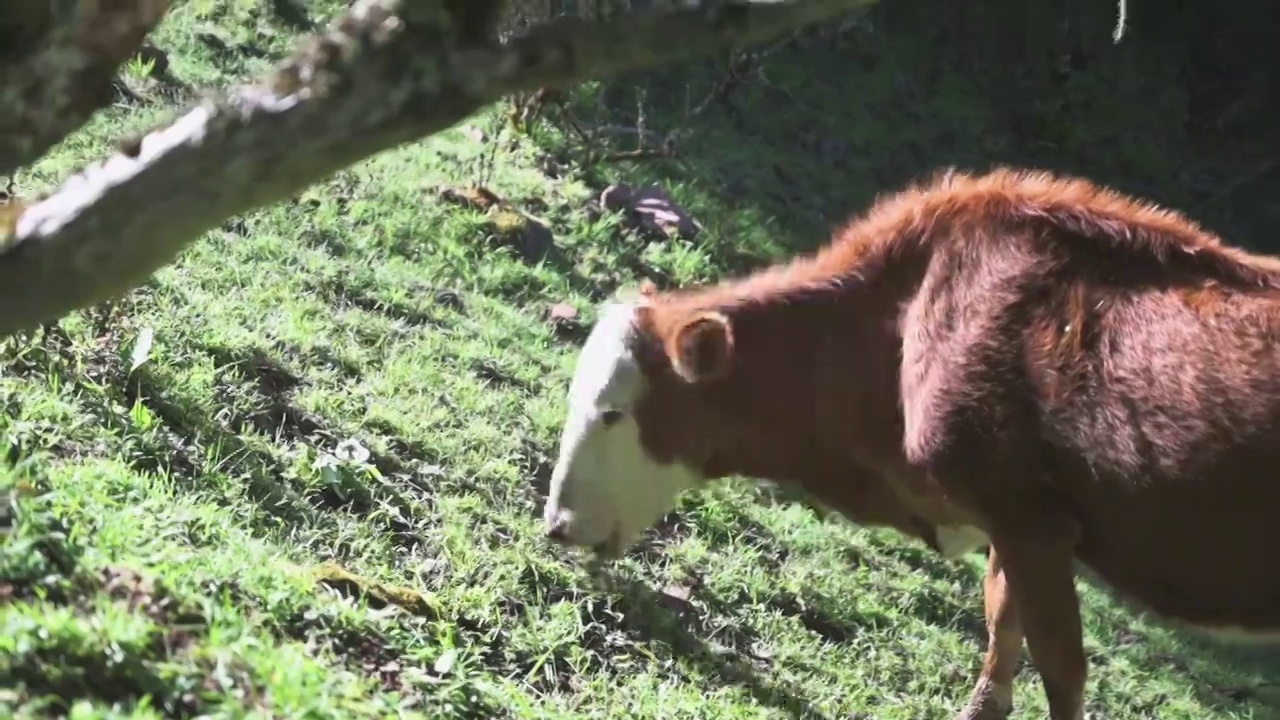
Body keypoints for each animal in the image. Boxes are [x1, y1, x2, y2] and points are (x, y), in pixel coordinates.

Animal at [542, 165, 1280, 712]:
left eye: (611, 412)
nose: (555, 524)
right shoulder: (1009, 526)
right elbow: (1000, 647)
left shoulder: (1030, 522)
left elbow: (1062, 671)